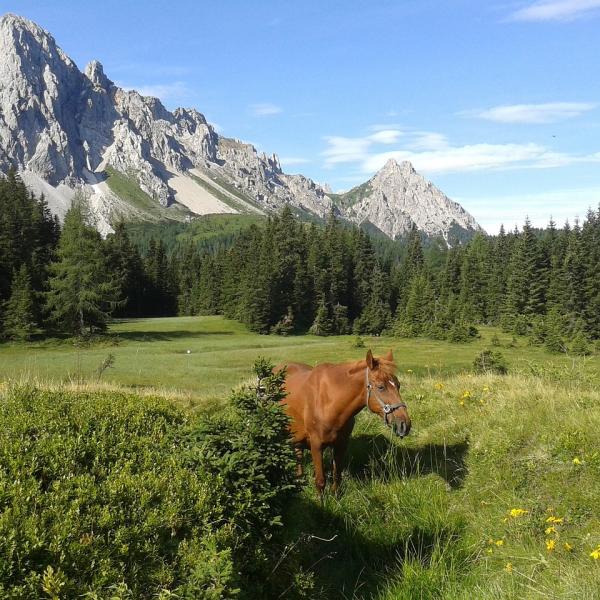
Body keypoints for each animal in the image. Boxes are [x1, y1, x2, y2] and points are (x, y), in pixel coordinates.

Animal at [278, 350, 410, 494]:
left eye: (398, 385)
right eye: (381, 387)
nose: (405, 425)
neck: (328, 401)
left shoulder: (341, 444)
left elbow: (337, 476)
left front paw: (335, 496)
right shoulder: (316, 445)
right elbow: (320, 481)